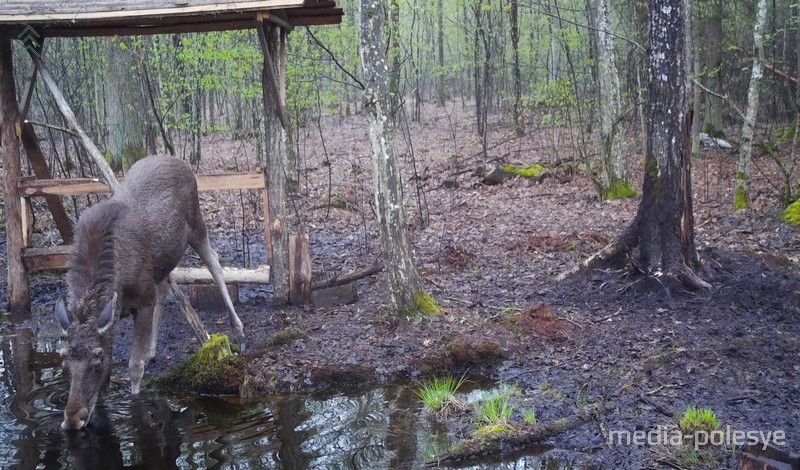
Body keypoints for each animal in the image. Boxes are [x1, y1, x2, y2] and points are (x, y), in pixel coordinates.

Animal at [54, 156, 245, 432]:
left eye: (96, 362)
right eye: (65, 362)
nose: (72, 419)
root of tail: (178, 161)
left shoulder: (142, 300)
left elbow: (134, 366)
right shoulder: (114, 316)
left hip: (197, 225)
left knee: (215, 263)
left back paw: (238, 331)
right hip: (163, 261)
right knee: (166, 285)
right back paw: (153, 350)